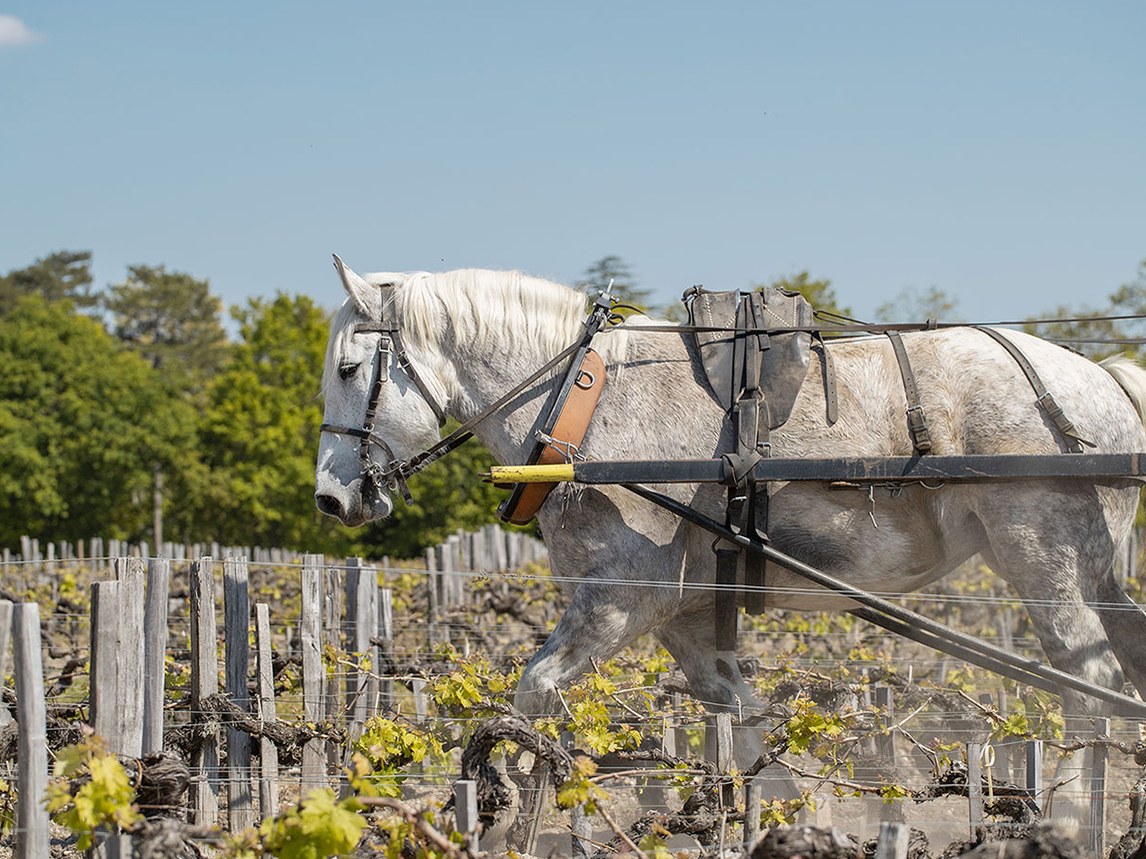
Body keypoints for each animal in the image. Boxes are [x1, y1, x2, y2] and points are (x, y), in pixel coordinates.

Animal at [314, 260, 1146, 780]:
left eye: (350, 370)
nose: (331, 498)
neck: (583, 399)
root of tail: (1103, 377)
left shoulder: (621, 594)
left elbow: (535, 694)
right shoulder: (685, 612)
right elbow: (746, 722)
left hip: (1042, 560)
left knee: (1091, 686)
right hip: (1095, 569)